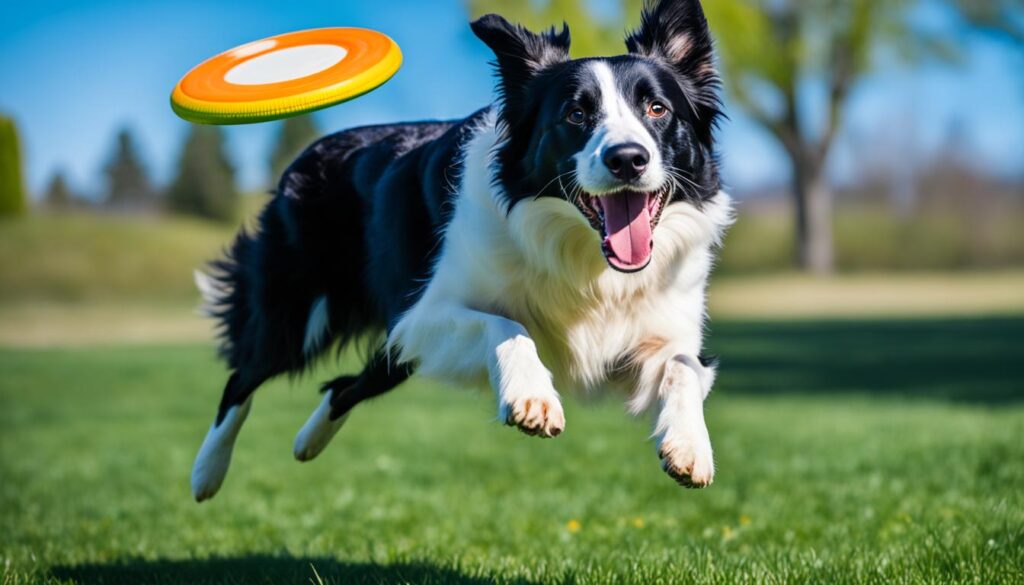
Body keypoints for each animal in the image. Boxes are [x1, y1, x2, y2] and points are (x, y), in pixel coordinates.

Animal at [190, 0, 729, 504]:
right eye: (575, 114)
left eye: (657, 109)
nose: (628, 159)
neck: (588, 261)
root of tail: (305, 158)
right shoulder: (423, 314)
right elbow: (507, 325)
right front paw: (532, 396)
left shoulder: (653, 334)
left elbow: (685, 366)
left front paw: (690, 447)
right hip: (298, 313)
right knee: (242, 378)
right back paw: (206, 474)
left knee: (344, 385)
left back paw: (307, 442)